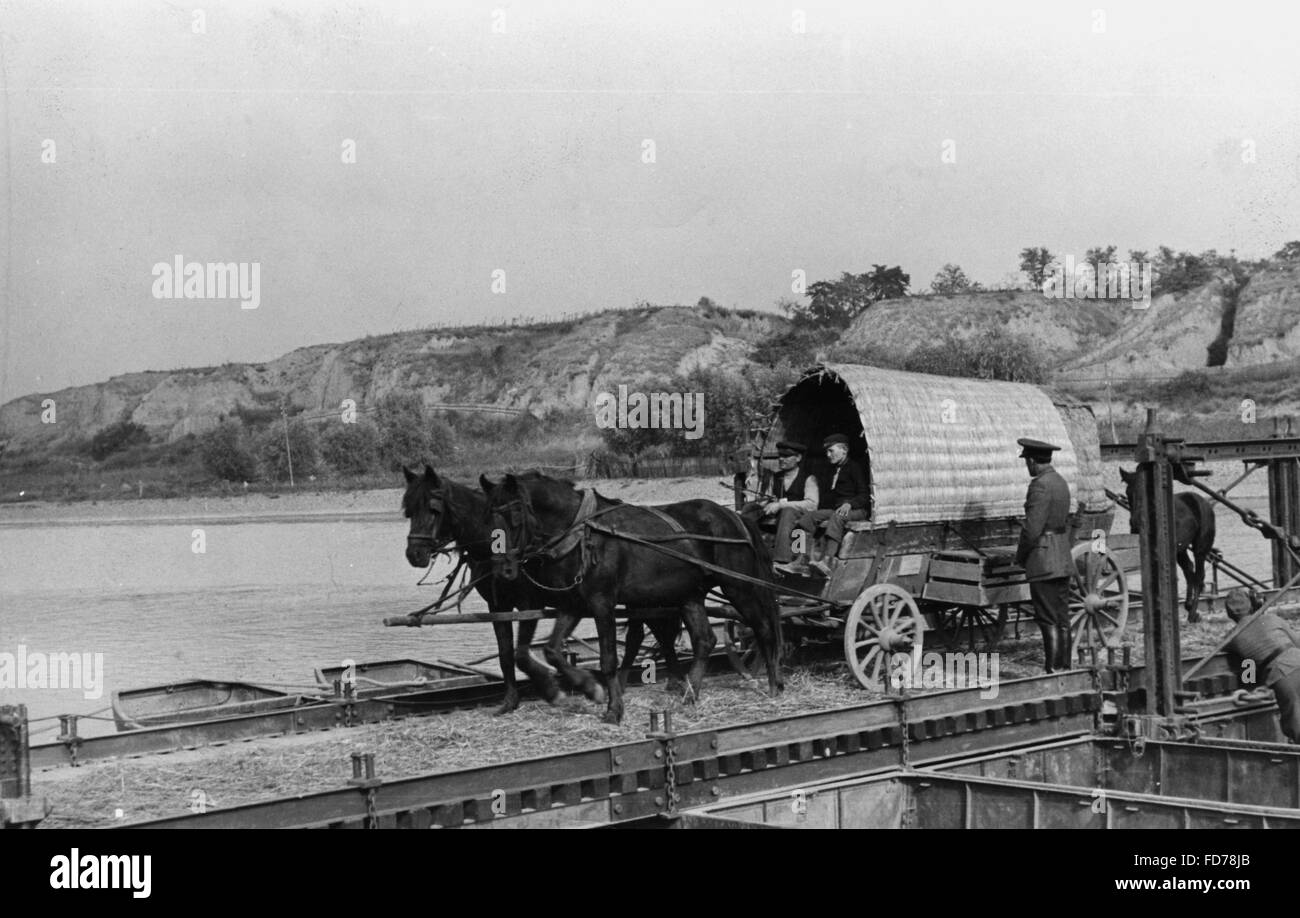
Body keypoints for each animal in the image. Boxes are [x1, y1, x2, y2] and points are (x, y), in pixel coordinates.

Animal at [400, 465, 691, 707]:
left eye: (434, 509)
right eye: (408, 511)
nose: (414, 554)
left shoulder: (530, 602)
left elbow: (522, 654)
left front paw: (555, 690)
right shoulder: (498, 605)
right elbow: (506, 654)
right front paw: (510, 700)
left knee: (652, 633)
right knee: (649, 633)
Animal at [480, 473, 774, 722]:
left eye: (515, 515)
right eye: (488, 518)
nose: (503, 570)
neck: (582, 532)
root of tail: (733, 516)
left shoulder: (602, 603)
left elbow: (608, 658)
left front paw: (614, 709)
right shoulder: (572, 604)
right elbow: (551, 651)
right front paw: (585, 688)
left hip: (738, 586)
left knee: (763, 627)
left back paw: (775, 681)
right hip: (690, 596)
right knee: (705, 640)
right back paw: (690, 694)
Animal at [1118, 465, 1216, 621]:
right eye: (1128, 492)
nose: (1135, 521)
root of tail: (1206, 504)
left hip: (1200, 548)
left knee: (1199, 576)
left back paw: (1193, 614)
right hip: (1181, 549)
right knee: (1189, 569)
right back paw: (1188, 606)